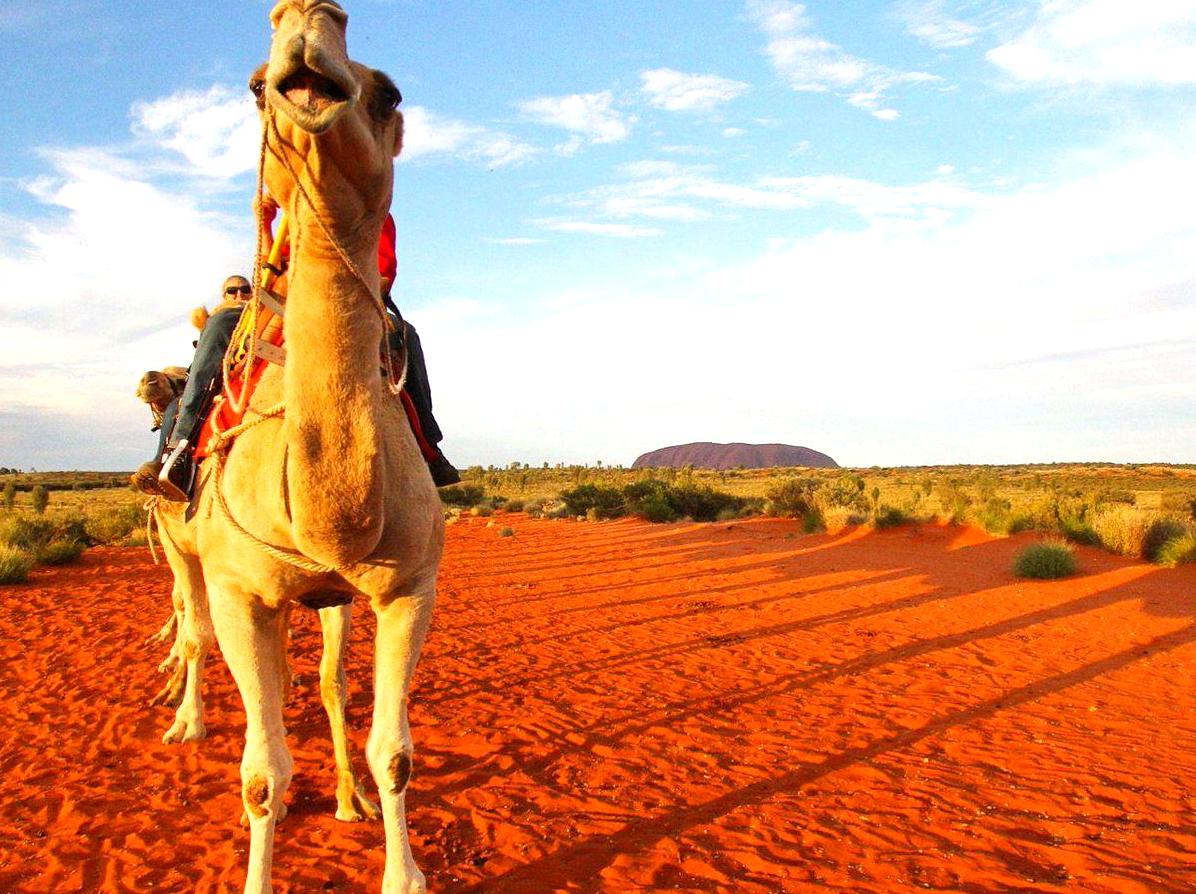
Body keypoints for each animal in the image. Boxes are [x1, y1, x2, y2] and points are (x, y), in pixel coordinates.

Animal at [151, 3, 442, 890]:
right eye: (252, 88)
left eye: (390, 93)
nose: (309, 21)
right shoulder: (244, 590)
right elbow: (260, 775)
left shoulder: (407, 584)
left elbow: (394, 751)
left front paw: (399, 865)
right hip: (187, 549)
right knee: (191, 624)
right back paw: (186, 721)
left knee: (326, 682)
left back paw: (345, 796)